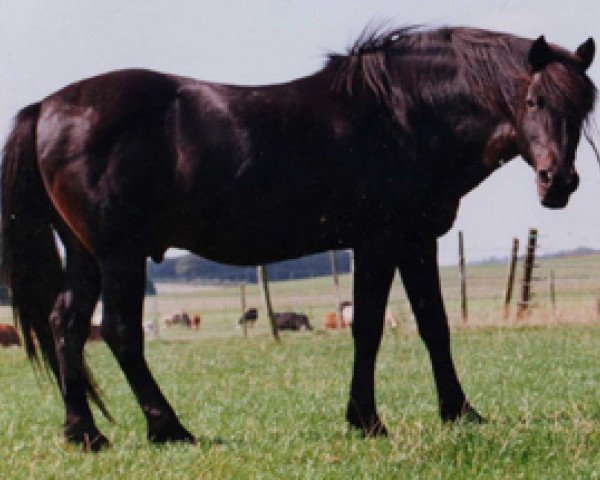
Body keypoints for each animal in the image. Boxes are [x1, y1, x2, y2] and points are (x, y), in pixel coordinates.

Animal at [1, 27, 596, 450]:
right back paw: (169, 429)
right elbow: (368, 329)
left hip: (86, 255)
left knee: (66, 325)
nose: (558, 183)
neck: (406, 114)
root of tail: (46, 107)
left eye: (583, 106)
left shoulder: (416, 240)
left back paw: (85, 434)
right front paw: (367, 420)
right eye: (535, 101)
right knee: (120, 332)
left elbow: (434, 326)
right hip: (119, 254)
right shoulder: (379, 242)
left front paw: (460, 412)